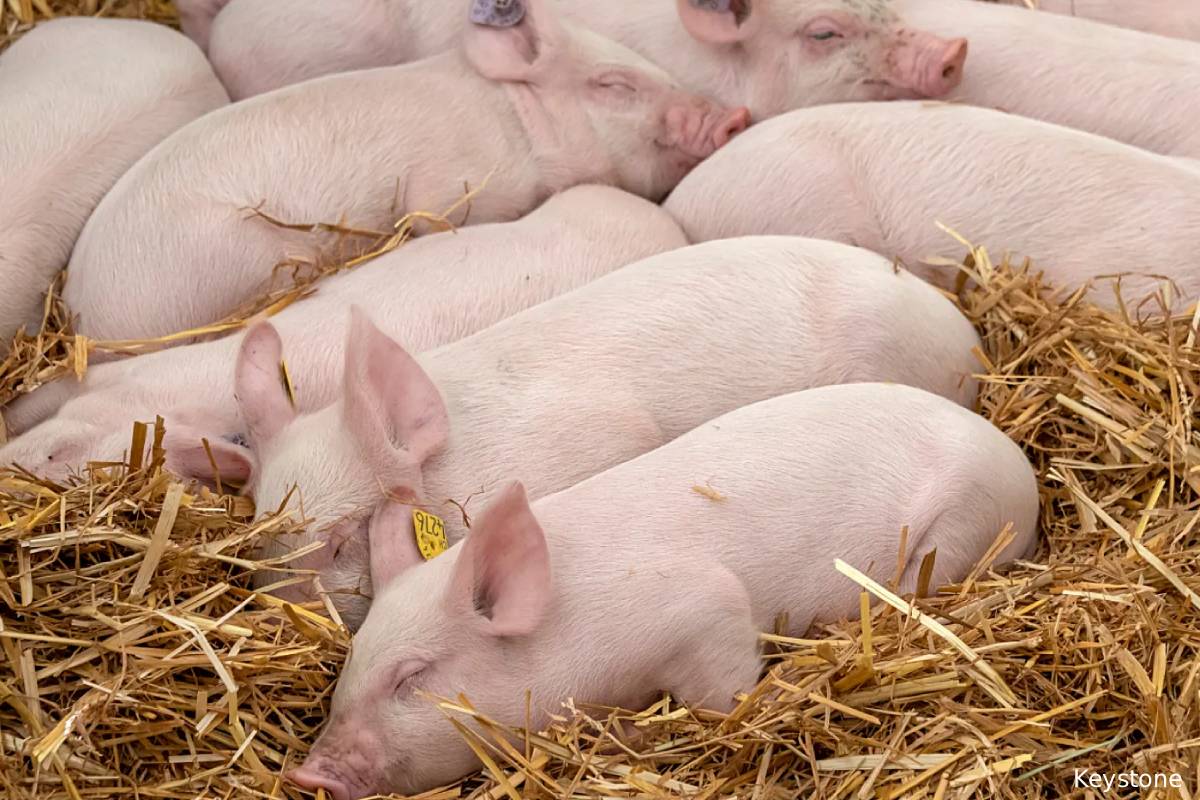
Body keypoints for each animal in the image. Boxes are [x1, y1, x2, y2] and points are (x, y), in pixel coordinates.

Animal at [236, 236, 982, 629]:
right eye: (258, 547)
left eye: (337, 543)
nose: (277, 615)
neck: (464, 465)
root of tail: (965, 335)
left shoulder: (603, 441)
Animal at [288, 382, 1040, 798]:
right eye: (353, 666)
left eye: (410, 677)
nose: (308, 775)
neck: (565, 627)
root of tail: (1016, 460)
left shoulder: (700, 607)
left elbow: (723, 692)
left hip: (963, 528)